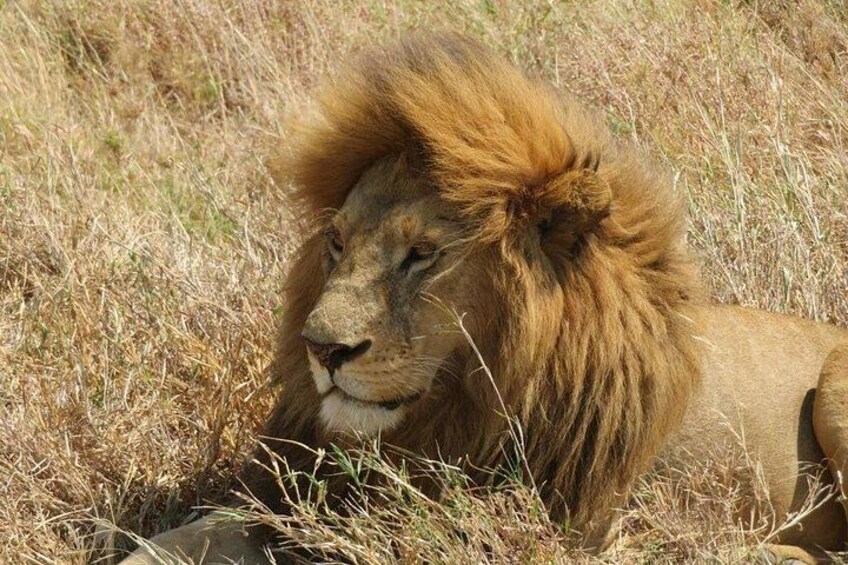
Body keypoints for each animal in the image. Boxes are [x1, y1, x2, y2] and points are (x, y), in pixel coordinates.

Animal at [121, 34, 848, 564]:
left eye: (423, 254)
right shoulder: (284, 497)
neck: (452, 412)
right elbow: (164, 543)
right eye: (335, 242)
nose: (321, 349)